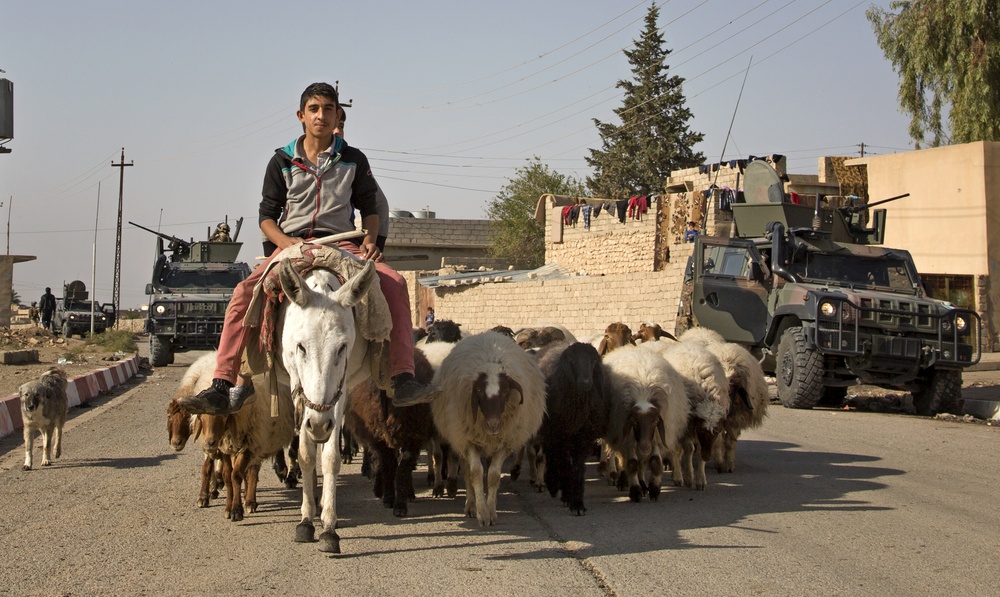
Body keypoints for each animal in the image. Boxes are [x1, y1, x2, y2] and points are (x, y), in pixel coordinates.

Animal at [430, 330, 548, 528]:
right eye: (478, 392)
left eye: (505, 392)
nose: (493, 424)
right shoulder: (468, 441)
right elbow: (476, 474)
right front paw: (480, 513)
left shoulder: (504, 442)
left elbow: (493, 476)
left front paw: (491, 511)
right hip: (461, 441)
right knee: (467, 472)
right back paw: (470, 505)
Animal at [596, 342, 692, 500]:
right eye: (634, 422)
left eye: (654, 422)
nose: (645, 446)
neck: (643, 393)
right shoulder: (628, 437)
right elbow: (632, 464)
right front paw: (635, 491)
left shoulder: (657, 436)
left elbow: (655, 463)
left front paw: (654, 489)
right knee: (625, 459)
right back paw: (624, 481)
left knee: (641, 462)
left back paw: (642, 483)